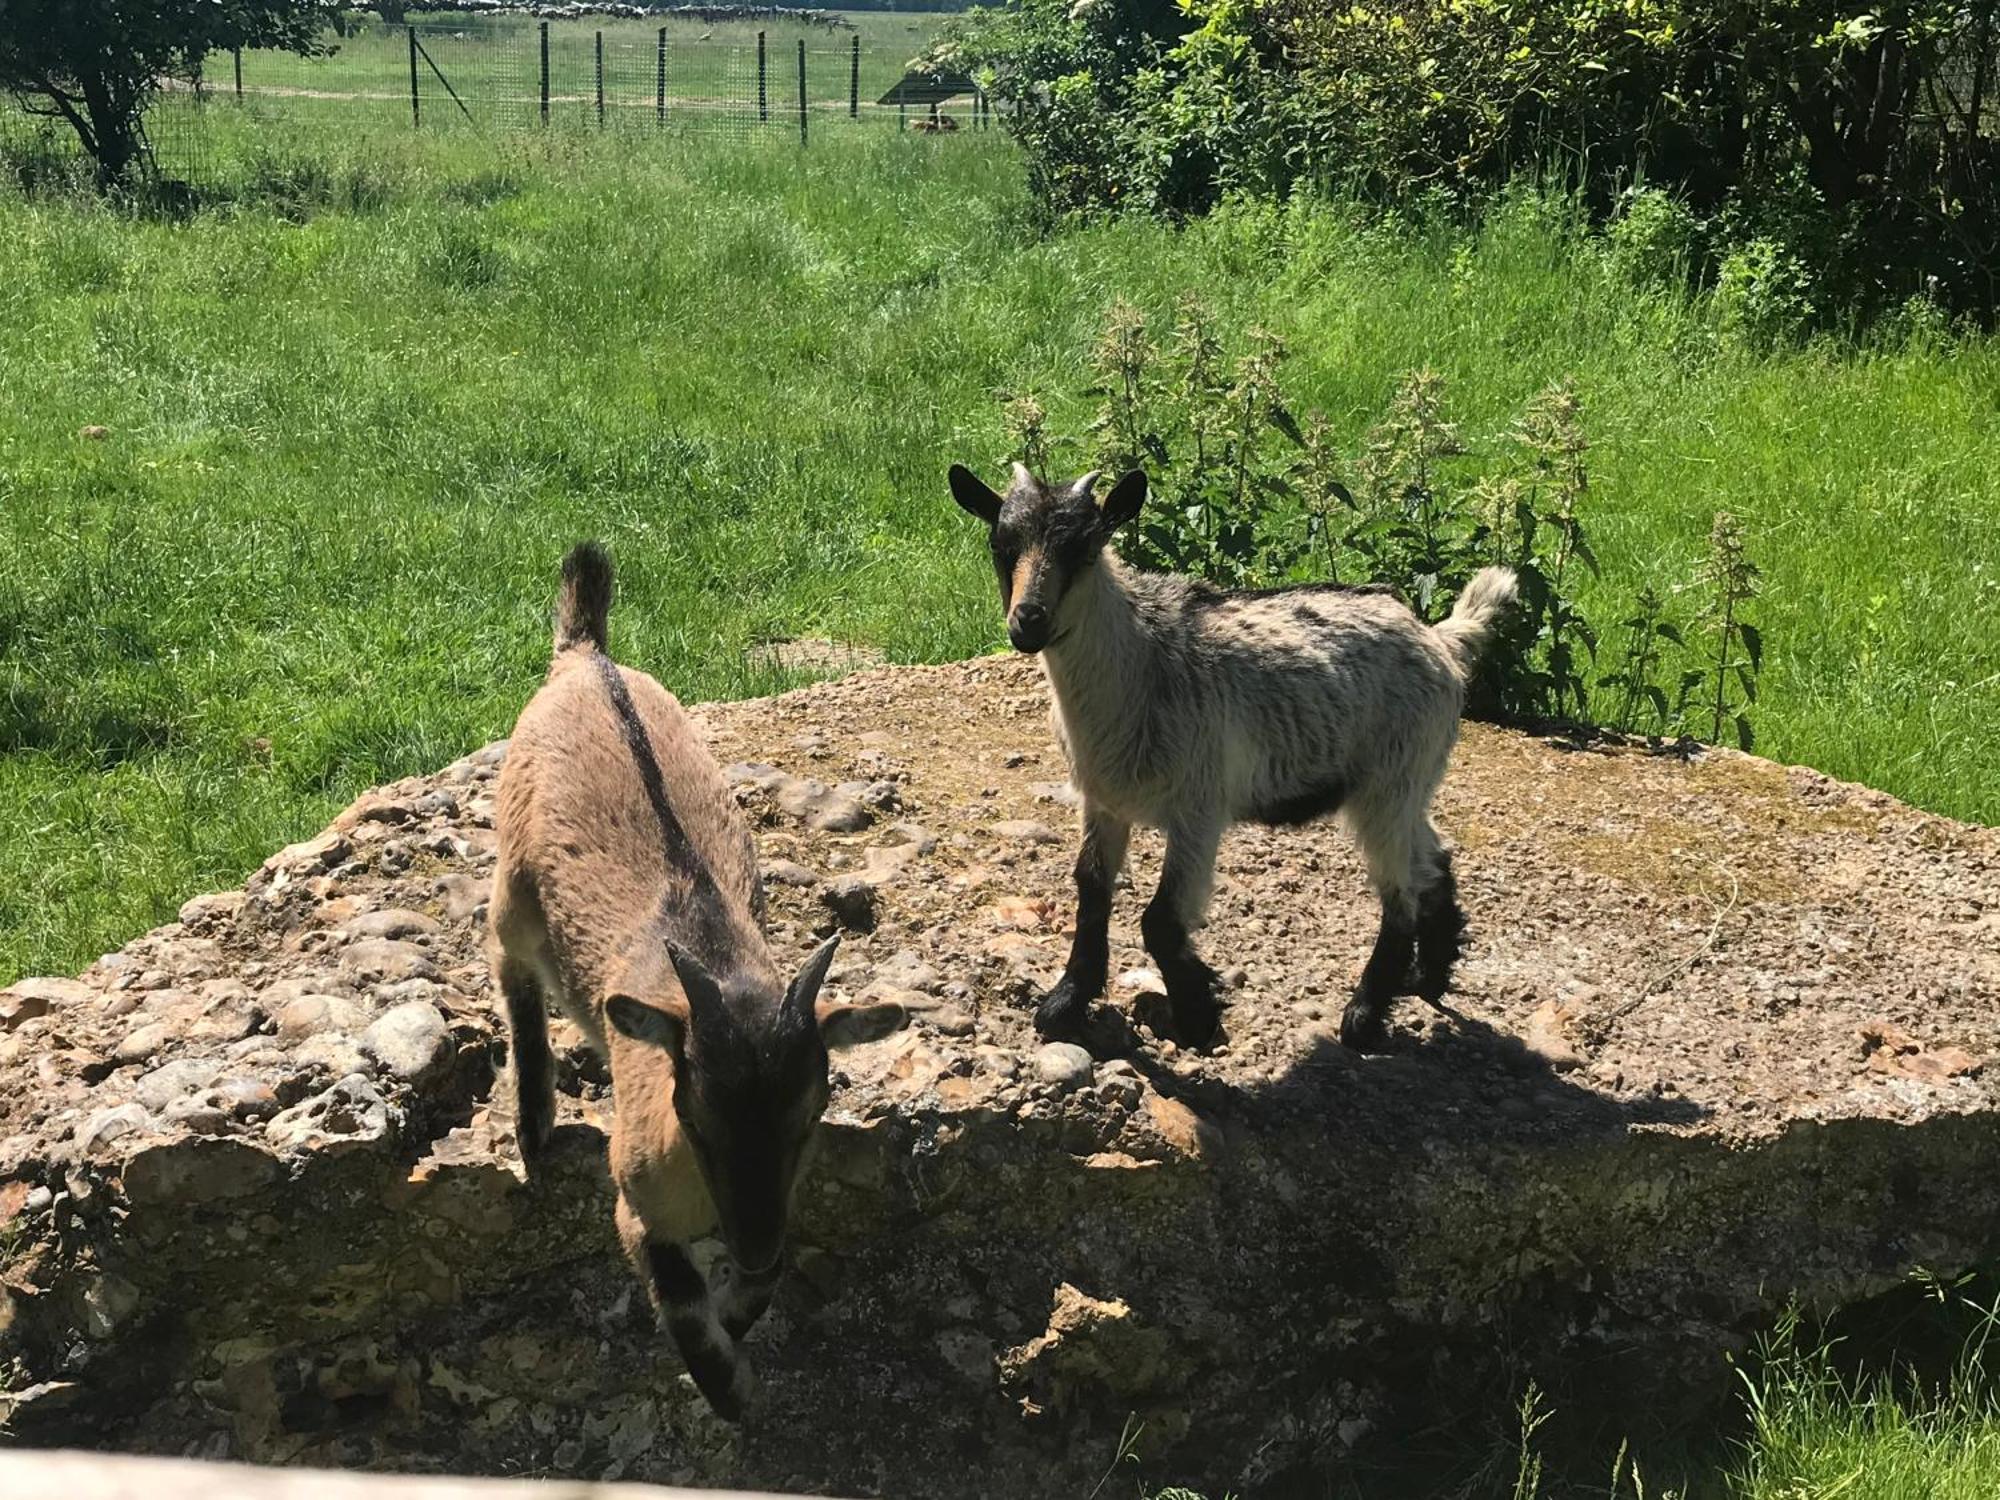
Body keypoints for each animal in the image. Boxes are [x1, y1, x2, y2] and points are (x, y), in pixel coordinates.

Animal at [488, 540, 904, 1424]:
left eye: (811, 1113)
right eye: (698, 1113)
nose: (751, 1242)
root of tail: (587, 658)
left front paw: (743, 1313)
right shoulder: (636, 1198)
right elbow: (678, 1299)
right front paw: (730, 1389)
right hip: (511, 888)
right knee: (510, 969)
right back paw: (533, 1120)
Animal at [952, 464, 1512, 1048]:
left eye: (1085, 547)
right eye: (1000, 544)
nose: (1028, 620)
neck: (1143, 663)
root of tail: (1442, 640)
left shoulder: (1199, 807)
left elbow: (1161, 920)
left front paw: (1196, 1019)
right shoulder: (1104, 801)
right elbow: (1091, 888)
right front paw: (1064, 1002)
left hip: (1391, 779)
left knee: (1399, 895)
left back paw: (1364, 1017)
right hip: (1407, 782)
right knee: (1432, 859)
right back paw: (1429, 974)